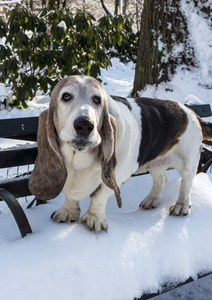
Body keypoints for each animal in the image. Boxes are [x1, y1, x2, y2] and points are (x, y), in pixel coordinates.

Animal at [29, 75, 212, 234]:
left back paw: (181, 205)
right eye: (66, 96)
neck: (79, 159)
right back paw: (151, 199)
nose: (85, 125)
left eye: (97, 99)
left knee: (186, 183)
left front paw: (94, 218)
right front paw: (68, 211)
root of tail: (191, 112)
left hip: (187, 161)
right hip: (155, 163)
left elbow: (100, 196)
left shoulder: (120, 173)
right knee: (162, 178)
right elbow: (70, 196)